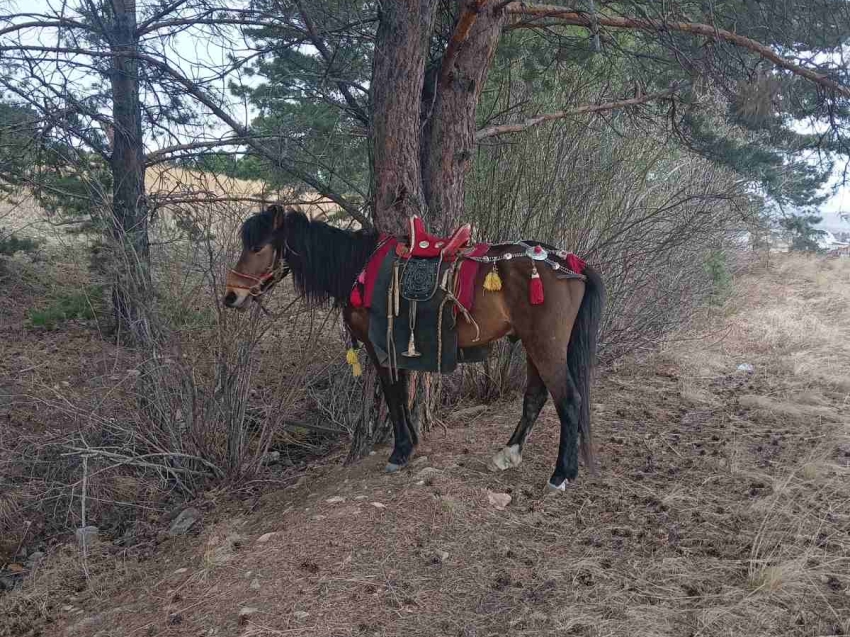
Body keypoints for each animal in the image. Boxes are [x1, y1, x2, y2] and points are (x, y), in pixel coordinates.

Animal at [220, 206, 604, 490]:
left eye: (257, 247)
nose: (230, 296)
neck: (359, 267)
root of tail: (569, 263)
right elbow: (403, 394)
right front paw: (411, 443)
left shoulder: (381, 347)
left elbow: (393, 396)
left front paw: (400, 452)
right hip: (533, 344)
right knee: (536, 397)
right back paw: (508, 454)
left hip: (545, 345)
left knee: (569, 400)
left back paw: (561, 474)